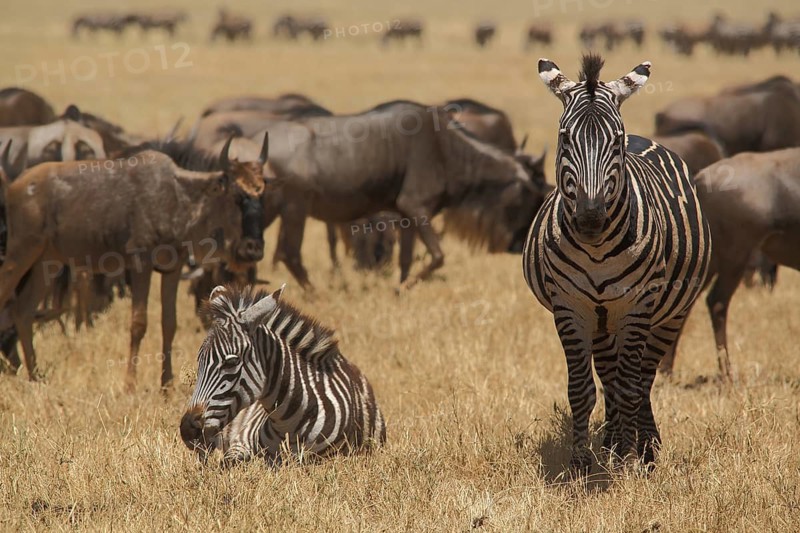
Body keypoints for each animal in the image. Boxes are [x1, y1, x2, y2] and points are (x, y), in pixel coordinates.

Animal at [522, 54, 711, 472]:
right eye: (565, 138)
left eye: (615, 140)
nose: (590, 218)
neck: (597, 249)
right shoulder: (570, 305)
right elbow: (581, 388)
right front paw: (581, 463)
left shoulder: (637, 305)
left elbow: (629, 387)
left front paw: (628, 459)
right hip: (601, 316)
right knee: (609, 373)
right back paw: (610, 442)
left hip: (667, 313)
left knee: (643, 378)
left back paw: (646, 447)